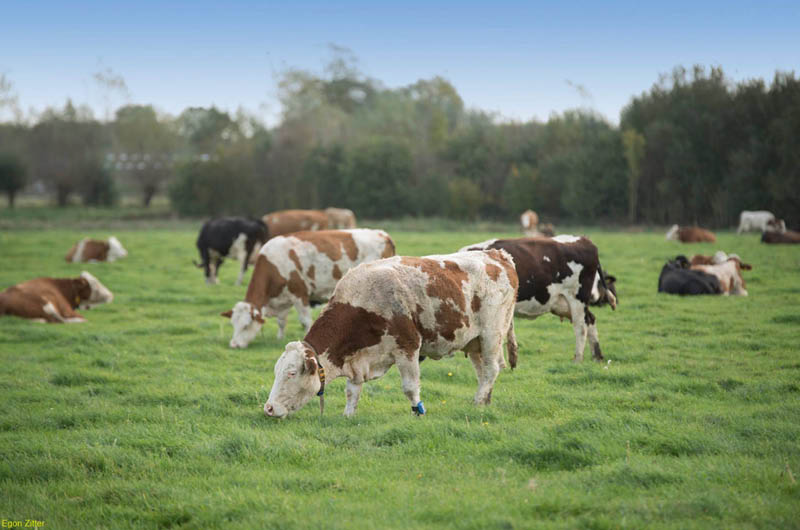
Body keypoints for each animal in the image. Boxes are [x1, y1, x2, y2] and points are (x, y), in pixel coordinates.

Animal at [220, 227, 396, 346]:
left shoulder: (300, 294)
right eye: (233, 324)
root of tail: (383, 234)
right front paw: (279, 338)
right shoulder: (283, 299)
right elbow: (281, 321)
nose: (234, 345)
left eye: (246, 325)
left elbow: (305, 321)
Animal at [262, 248, 520, 416]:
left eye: (291, 373)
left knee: (491, 369)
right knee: (482, 372)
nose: (269, 408)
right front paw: (348, 416)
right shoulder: (357, 360)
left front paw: (418, 413)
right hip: (474, 342)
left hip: (491, 334)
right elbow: (351, 391)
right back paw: (484, 401)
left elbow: (410, 387)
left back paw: (478, 402)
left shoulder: (408, 347)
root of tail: (498, 255)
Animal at [462, 236, 620, 364]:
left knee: (581, 327)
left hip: (577, 299)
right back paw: (597, 357)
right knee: (590, 320)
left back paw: (578, 359)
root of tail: (585, 240)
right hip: (567, 303)